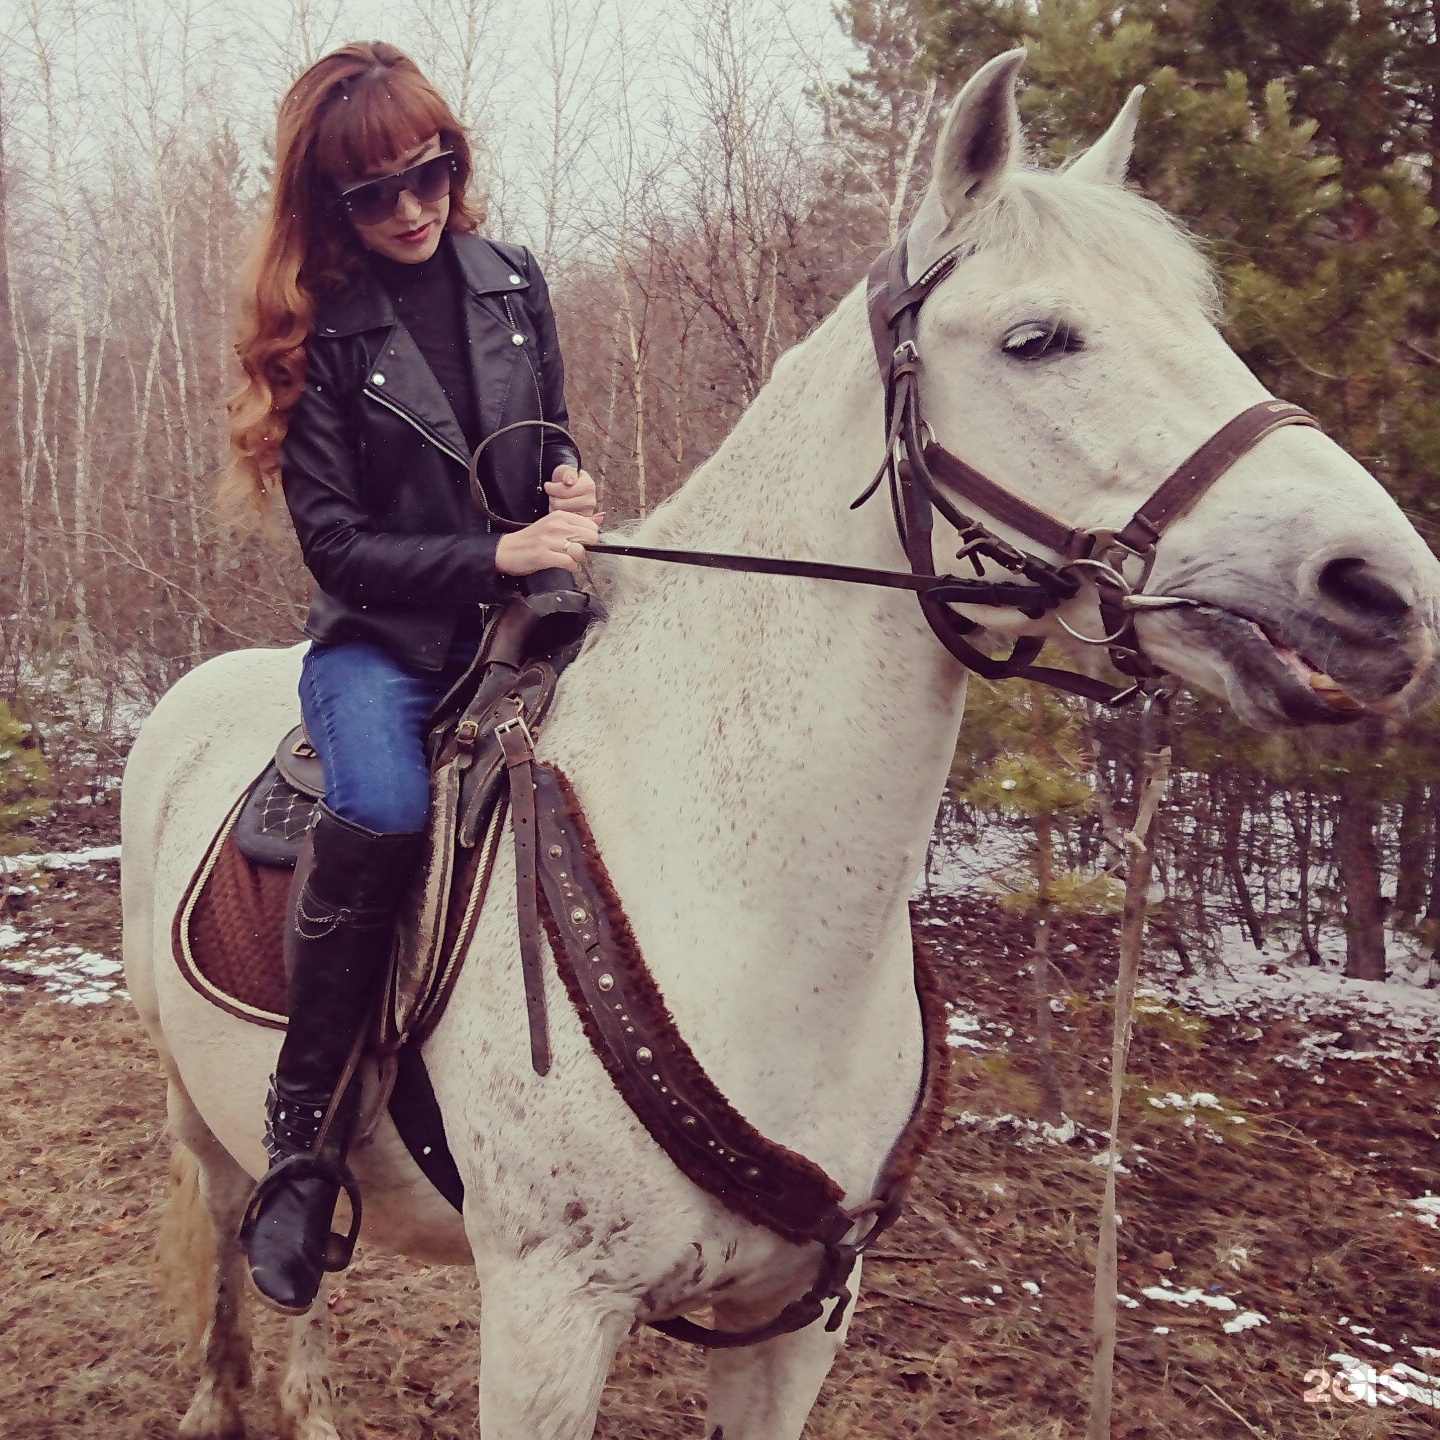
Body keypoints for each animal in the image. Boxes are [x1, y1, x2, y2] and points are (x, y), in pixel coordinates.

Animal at [120, 53, 1440, 1440]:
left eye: (1202, 313)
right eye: (1036, 338)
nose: (1380, 590)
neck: (758, 917)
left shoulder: (799, 1318)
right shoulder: (547, 1318)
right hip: (200, 1107)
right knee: (237, 1224)